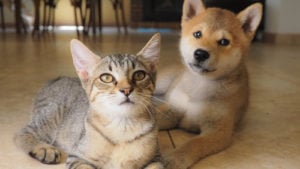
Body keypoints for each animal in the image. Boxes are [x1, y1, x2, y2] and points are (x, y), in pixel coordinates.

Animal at [14, 33, 163, 169]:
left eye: (139, 75)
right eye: (106, 78)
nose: (126, 89)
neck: (122, 127)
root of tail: (55, 79)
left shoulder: (156, 159)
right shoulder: (77, 157)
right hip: (51, 118)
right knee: (22, 133)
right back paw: (44, 148)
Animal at [155, 0, 262, 169]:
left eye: (224, 42)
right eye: (198, 34)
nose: (200, 53)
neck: (200, 84)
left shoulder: (218, 131)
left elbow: (194, 143)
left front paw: (176, 157)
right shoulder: (173, 109)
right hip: (162, 83)